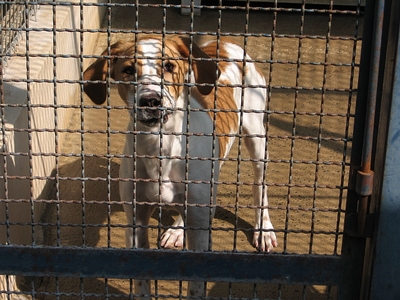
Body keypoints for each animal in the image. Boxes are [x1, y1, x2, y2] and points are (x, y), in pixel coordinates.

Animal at [83, 35, 278, 298]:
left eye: (168, 66)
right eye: (129, 70)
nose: (151, 100)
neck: (160, 148)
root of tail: (225, 42)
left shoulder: (201, 234)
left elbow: (195, 286)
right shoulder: (136, 220)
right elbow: (142, 282)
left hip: (257, 138)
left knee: (260, 185)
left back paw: (264, 229)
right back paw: (177, 229)